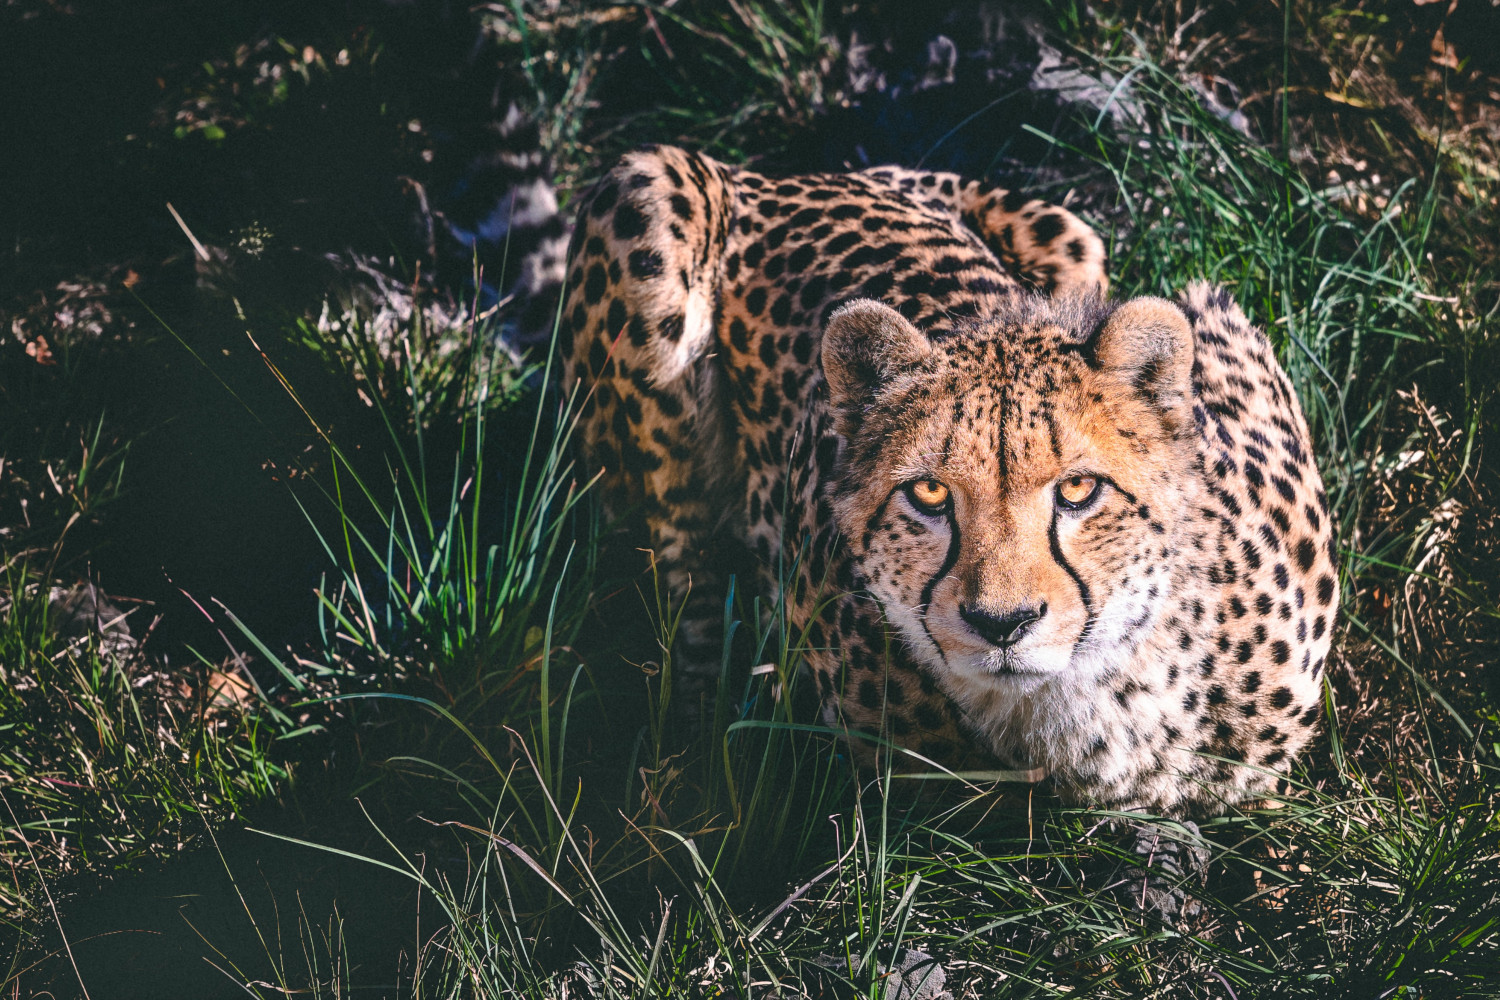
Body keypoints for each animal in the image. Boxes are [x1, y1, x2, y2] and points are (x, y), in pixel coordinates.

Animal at [559, 144, 1337, 818]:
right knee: (679, 569)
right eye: (929, 494)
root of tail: (785, 176)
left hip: (1075, 237)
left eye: (1079, 491)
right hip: (647, 193)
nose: (1003, 623)